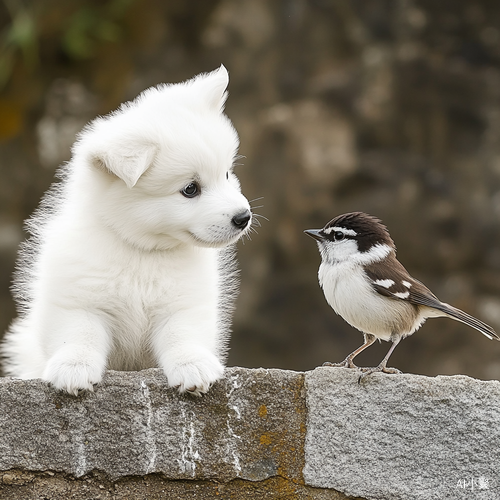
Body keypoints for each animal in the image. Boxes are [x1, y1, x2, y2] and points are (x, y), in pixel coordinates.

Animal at [0, 65, 250, 394]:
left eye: (226, 174)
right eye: (190, 189)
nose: (243, 217)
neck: (141, 249)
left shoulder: (181, 304)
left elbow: (182, 335)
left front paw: (193, 366)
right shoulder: (79, 302)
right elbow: (79, 335)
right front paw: (73, 368)